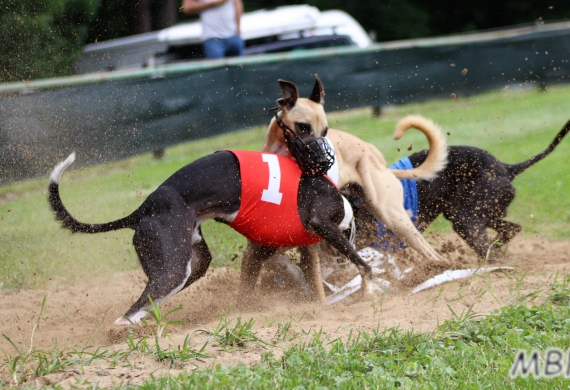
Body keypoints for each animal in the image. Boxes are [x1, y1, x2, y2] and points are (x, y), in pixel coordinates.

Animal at [237, 75, 446, 302]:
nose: (322, 162)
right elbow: (265, 268)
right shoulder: (261, 242)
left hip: (392, 215)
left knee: (432, 254)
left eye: (325, 131)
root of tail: (376, 156)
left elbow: (315, 284)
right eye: (303, 127)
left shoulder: (309, 244)